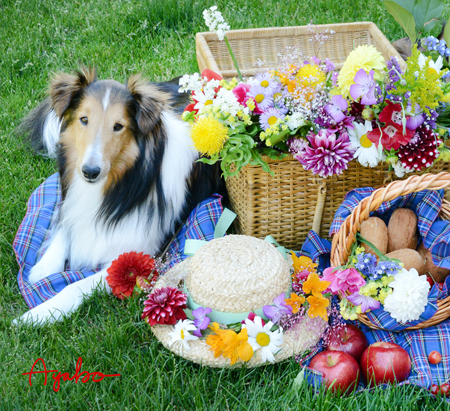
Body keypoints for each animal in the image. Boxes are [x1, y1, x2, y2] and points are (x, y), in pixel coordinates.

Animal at [14, 67, 222, 326]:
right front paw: (43, 268)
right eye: (84, 119)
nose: (90, 172)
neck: (120, 184)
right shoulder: (72, 200)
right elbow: (64, 225)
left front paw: (39, 314)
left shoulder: (140, 254)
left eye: (118, 126)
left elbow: (75, 286)